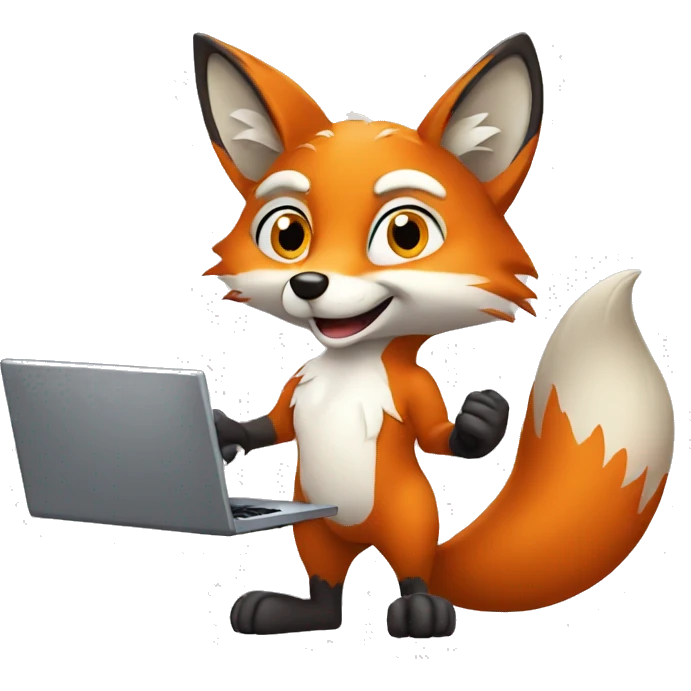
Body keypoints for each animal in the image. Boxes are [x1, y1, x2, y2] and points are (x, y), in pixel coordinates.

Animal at [192, 32, 675, 638]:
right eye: (288, 234)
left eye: (406, 233)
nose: (307, 282)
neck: (351, 363)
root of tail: (361, 539)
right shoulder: (297, 385)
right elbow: (273, 426)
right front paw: (222, 428)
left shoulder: (413, 393)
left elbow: (443, 437)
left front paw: (482, 420)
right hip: (314, 528)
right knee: (327, 594)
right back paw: (287, 610)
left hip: (408, 519)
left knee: (413, 570)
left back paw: (420, 611)